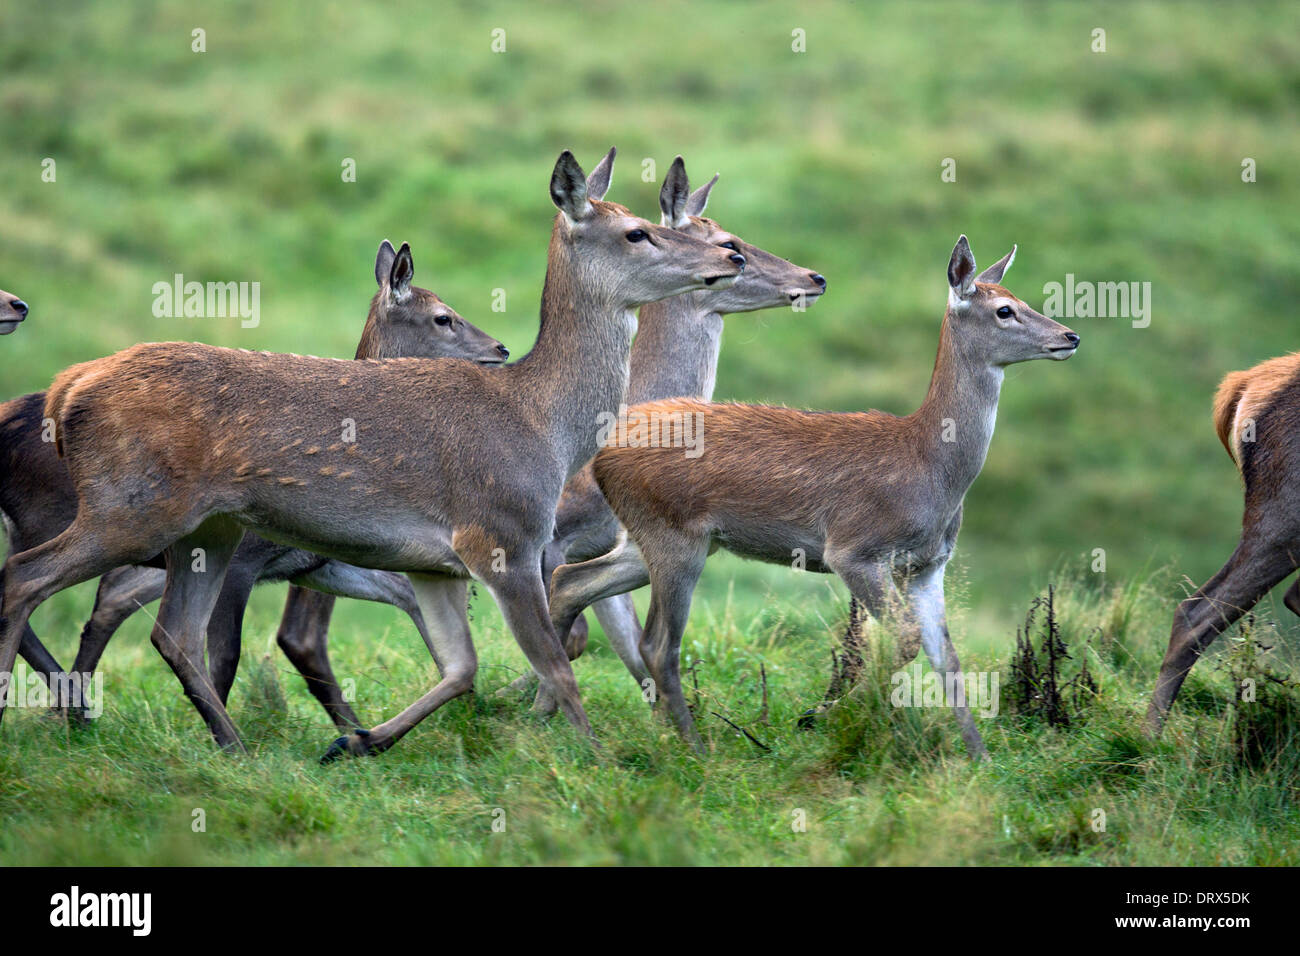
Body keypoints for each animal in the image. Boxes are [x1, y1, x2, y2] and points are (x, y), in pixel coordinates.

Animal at [0, 240, 509, 729]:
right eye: (444, 317)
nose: (502, 349)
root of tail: (63, 389)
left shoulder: (312, 563)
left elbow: (397, 601)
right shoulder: (246, 559)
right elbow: (230, 656)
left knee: (103, 601)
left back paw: (73, 711)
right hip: (96, 516)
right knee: (30, 582)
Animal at [578, 236, 1079, 758]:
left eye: (1021, 298)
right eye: (1005, 310)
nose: (1070, 336)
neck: (929, 468)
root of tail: (603, 454)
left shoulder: (927, 565)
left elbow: (947, 656)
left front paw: (978, 756)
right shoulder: (854, 549)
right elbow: (904, 641)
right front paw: (825, 715)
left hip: (649, 539)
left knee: (570, 582)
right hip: (674, 537)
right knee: (656, 643)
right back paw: (696, 748)